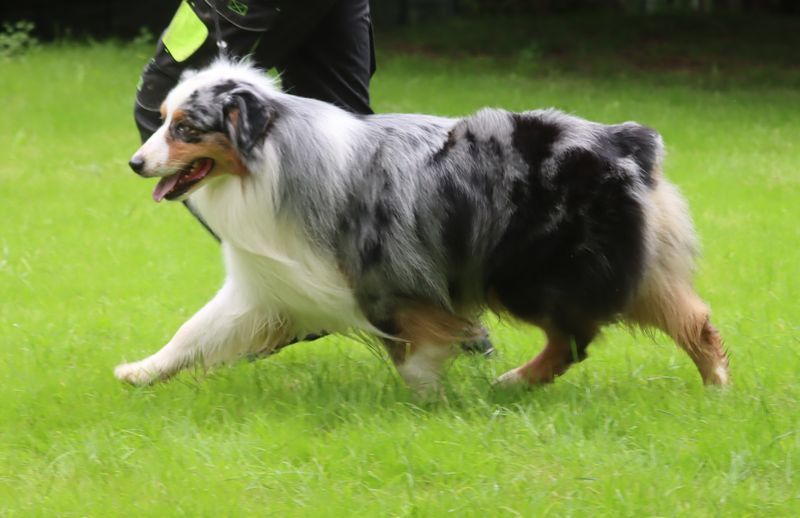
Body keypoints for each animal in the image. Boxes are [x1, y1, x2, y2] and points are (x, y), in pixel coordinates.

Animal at [115, 59, 728, 396]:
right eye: (162, 120)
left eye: (186, 129)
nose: (136, 163)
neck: (277, 157)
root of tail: (626, 140)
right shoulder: (269, 286)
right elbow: (196, 331)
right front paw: (141, 372)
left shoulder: (386, 281)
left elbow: (418, 350)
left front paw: (430, 396)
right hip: (631, 266)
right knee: (692, 320)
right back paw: (716, 392)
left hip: (530, 271)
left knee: (573, 340)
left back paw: (512, 383)